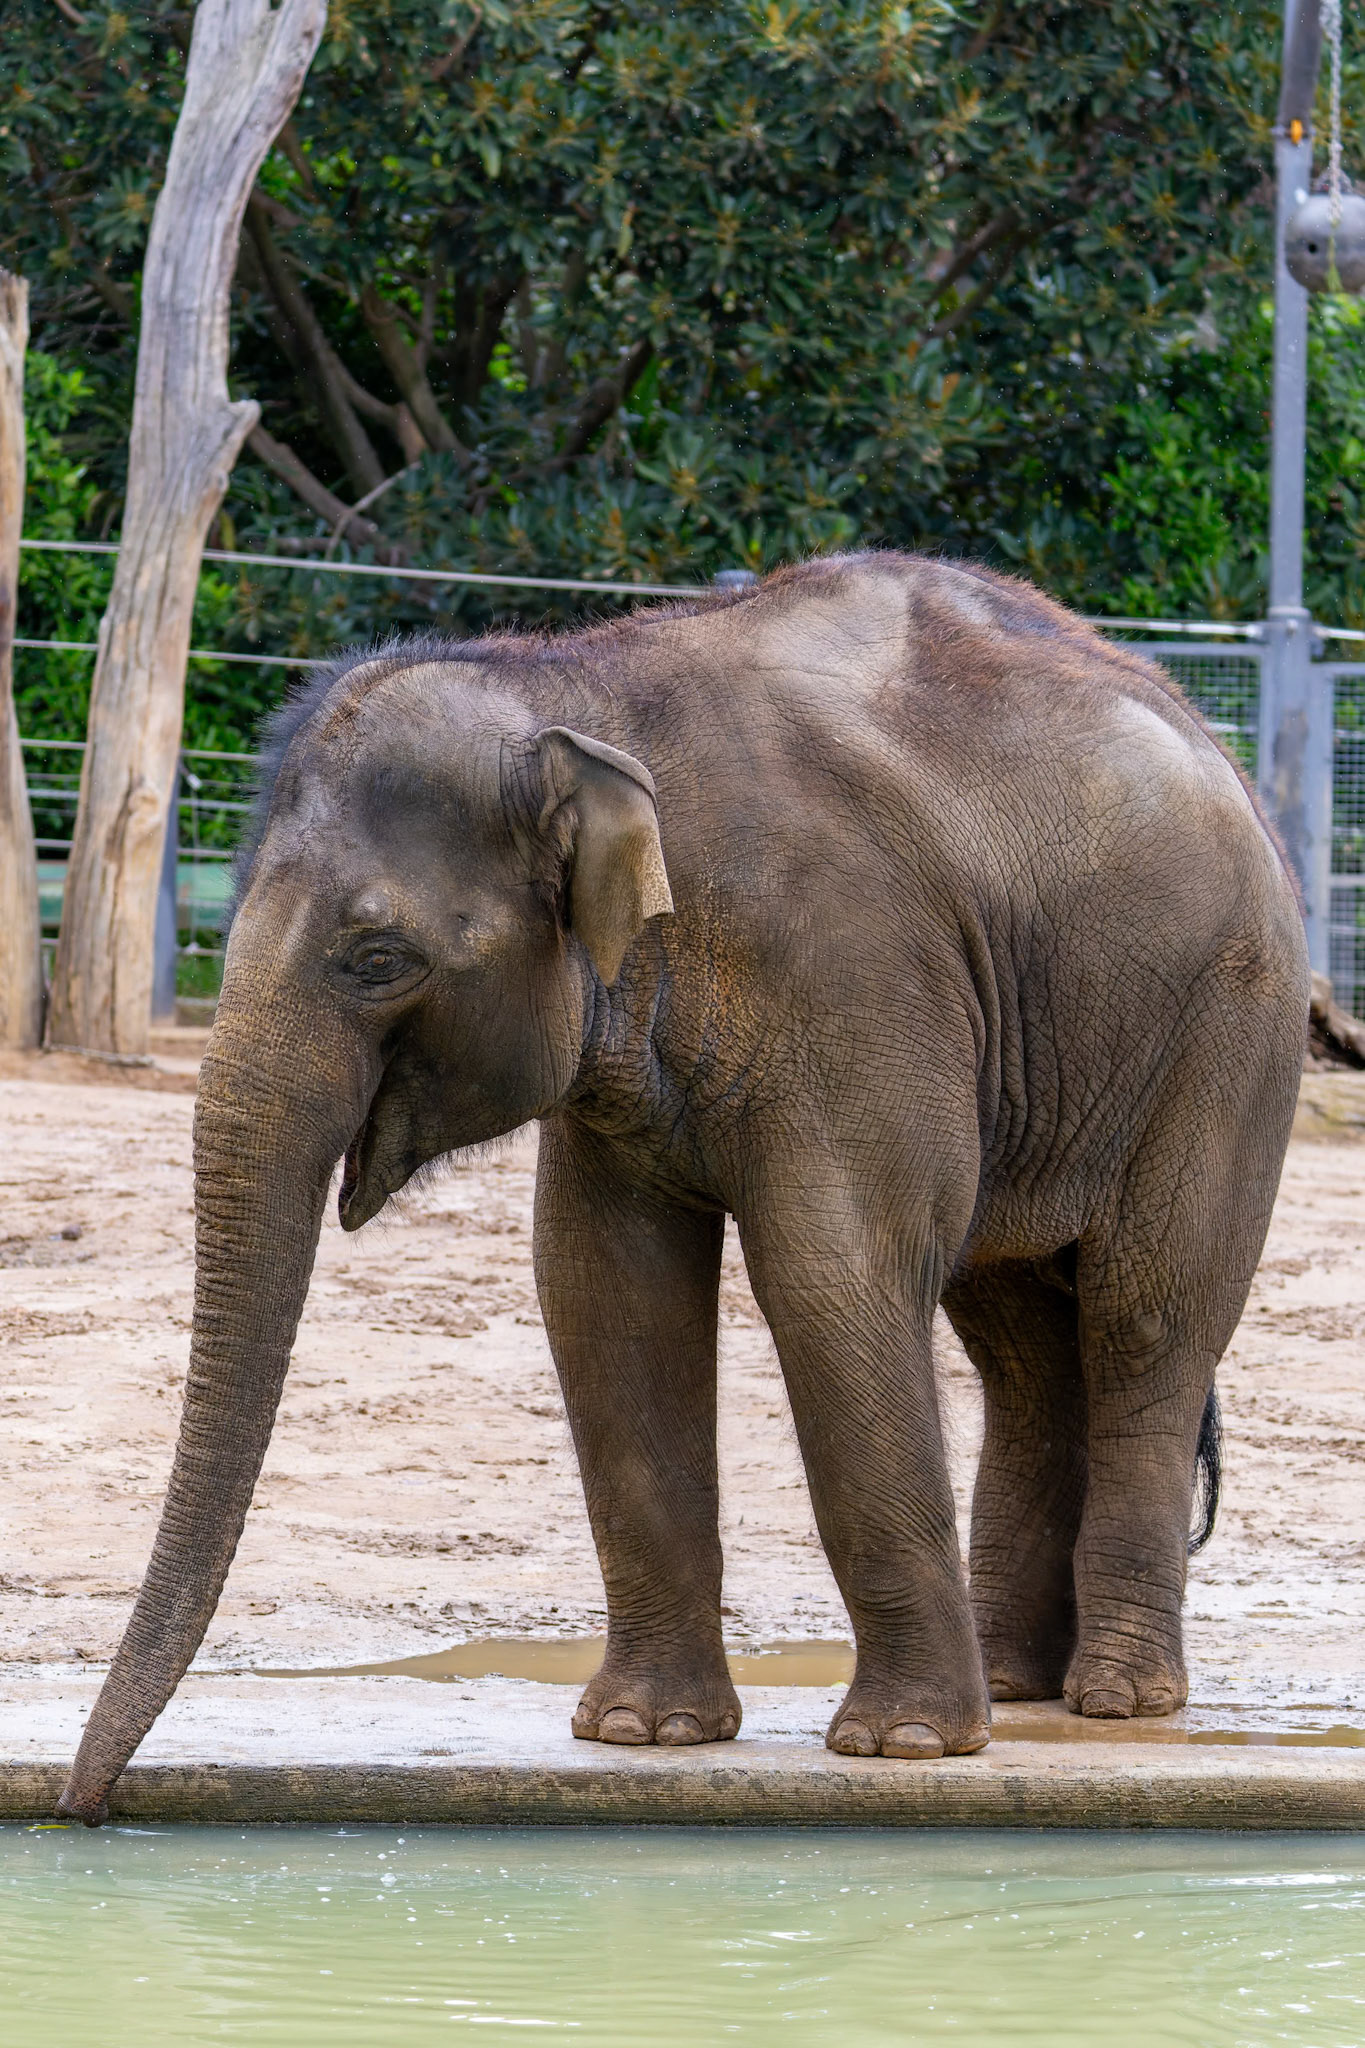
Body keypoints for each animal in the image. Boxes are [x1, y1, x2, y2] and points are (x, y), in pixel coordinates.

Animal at [58, 552, 1307, 1824]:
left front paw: (904, 1747)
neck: (571, 683)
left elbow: (831, 1275)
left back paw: (1118, 1701)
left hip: (1228, 1029)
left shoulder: (856, 974)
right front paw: (640, 1732)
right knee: (1017, 1339)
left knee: (1145, 1318)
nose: (85, 1803)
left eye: (377, 959)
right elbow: (605, 1290)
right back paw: (1016, 1685)